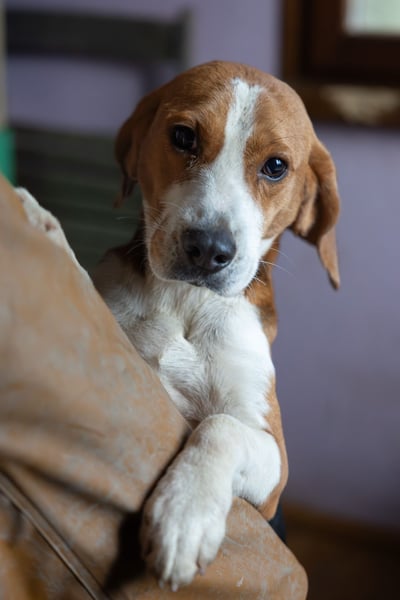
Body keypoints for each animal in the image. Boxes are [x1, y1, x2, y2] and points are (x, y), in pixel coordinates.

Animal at [20, 61, 340, 591]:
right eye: (184, 137)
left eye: (275, 166)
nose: (209, 248)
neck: (186, 301)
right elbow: (87, 290)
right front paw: (44, 227)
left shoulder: (273, 460)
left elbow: (219, 426)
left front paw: (185, 513)